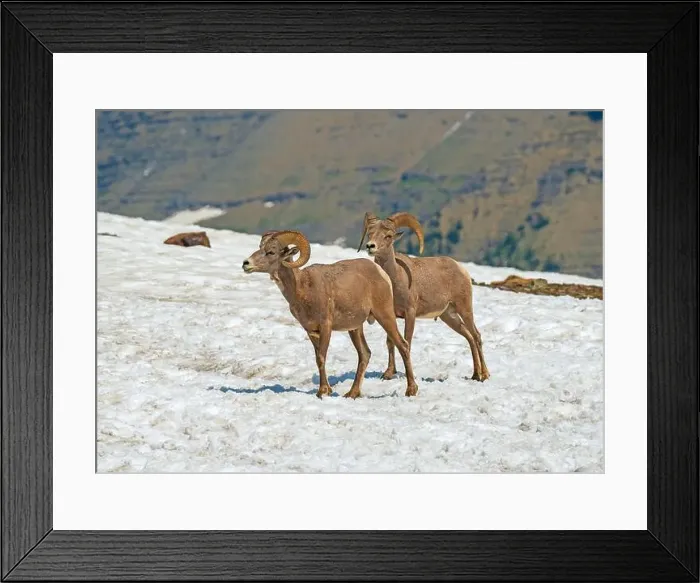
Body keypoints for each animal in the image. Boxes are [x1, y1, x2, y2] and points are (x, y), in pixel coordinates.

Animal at [242, 230, 419, 398]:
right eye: (260, 247)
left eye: (271, 252)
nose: (246, 264)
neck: (302, 289)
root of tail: (381, 273)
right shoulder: (311, 331)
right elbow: (317, 358)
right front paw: (327, 390)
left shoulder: (325, 327)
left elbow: (321, 357)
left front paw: (322, 392)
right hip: (355, 328)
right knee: (365, 354)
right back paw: (352, 393)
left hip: (385, 315)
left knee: (403, 345)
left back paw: (411, 390)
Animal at [357, 212, 490, 382]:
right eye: (370, 233)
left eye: (388, 236)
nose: (370, 246)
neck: (394, 279)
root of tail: (461, 269)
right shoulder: (390, 315)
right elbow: (390, 342)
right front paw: (388, 373)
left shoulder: (410, 313)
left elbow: (406, 341)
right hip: (449, 316)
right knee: (469, 337)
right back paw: (475, 374)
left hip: (464, 309)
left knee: (476, 336)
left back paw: (484, 375)